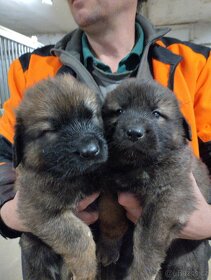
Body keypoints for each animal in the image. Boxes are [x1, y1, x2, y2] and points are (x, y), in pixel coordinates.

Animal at [14, 75, 108, 280]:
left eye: (90, 116)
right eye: (50, 131)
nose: (91, 151)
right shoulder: (38, 211)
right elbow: (79, 234)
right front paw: (87, 268)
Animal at [99, 79, 210, 280]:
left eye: (156, 113)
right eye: (119, 111)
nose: (134, 133)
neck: (135, 166)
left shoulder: (167, 196)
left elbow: (145, 239)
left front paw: (140, 272)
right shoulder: (109, 185)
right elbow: (110, 215)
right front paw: (108, 247)